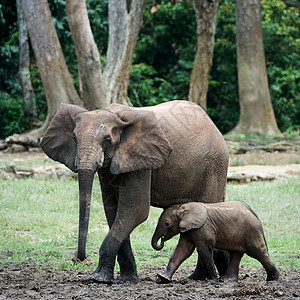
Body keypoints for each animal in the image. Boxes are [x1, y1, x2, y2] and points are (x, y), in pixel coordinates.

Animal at [39, 100, 227, 284]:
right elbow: (113, 212)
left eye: (107, 140)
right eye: (74, 138)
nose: (79, 258)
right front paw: (125, 279)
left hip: (214, 165)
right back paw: (201, 276)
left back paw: (203, 277)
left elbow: (135, 210)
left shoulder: (140, 160)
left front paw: (97, 279)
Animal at [151, 200, 280, 282]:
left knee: (258, 252)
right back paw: (226, 280)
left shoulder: (204, 228)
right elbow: (182, 250)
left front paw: (213, 280)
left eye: (166, 223)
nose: (162, 240)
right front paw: (163, 278)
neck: (183, 206)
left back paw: (273, 278)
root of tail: (253, 212)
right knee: (236, 254)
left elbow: (204, 251)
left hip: (251, 230)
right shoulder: (189, 230)